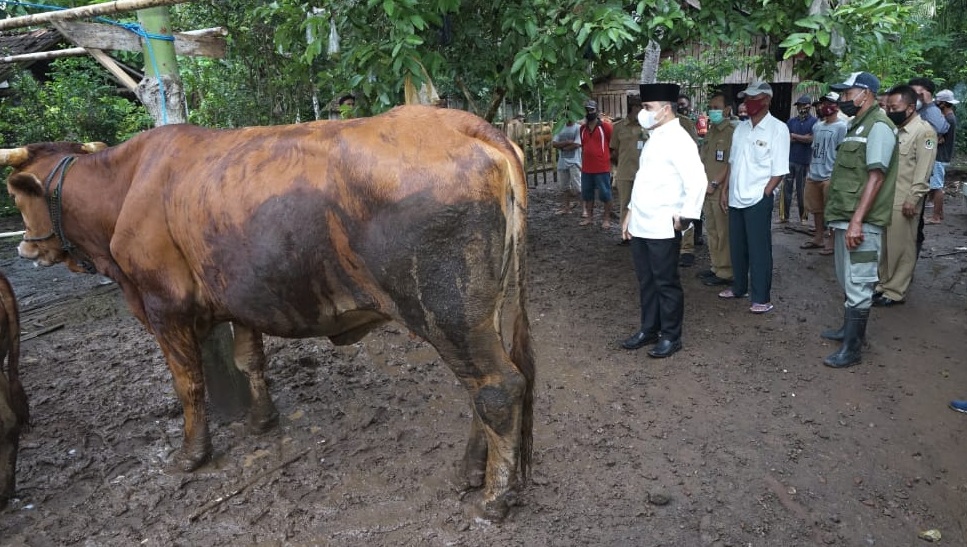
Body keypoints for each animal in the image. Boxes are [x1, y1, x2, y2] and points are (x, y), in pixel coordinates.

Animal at [0, 106, 532, 524]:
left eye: (18, 197)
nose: (25, 247)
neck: (127, 186)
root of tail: (465, 124)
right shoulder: (241, 296)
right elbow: (249, 360)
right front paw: (261, 420)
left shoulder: (162, 305)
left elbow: (188, 384)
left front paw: (192, 454)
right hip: (475, 313)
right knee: (486, 387)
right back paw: (471, 472)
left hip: (448, 313)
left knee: (497, 387)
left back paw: (494, 498)